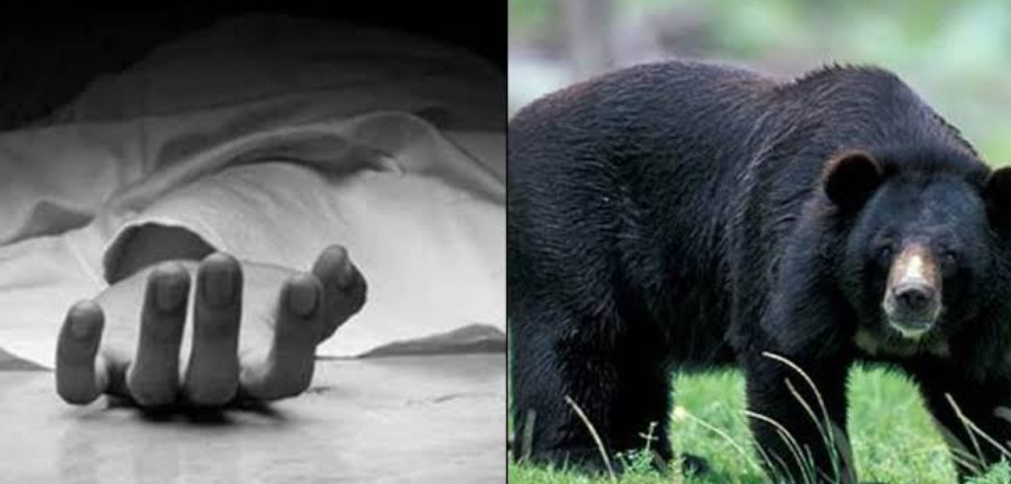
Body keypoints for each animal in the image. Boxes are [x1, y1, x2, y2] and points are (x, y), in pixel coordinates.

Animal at [508, 60, 1011, 484]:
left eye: (951, 254)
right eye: (884, 248)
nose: (912, 297)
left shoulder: (980, 320)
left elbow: (982, 393)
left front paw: (992, 468)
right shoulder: (790, 263)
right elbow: (792, 372)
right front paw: (817, 471)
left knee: (634, 363)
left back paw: (659, 460)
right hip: (566, 230)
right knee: (575, 346)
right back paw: (585, 457)